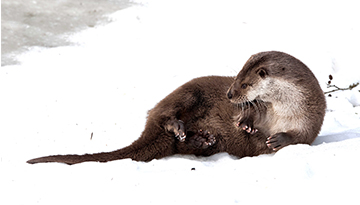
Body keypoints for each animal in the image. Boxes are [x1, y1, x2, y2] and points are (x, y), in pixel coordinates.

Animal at [25, 50, 324, 165]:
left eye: (244, 83)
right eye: (236, 77)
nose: (229, 94)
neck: (283, 110)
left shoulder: (312, 120)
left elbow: (299, 138)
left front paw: (277, 139)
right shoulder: (262, 107)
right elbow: (251, 113)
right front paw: (246, 122)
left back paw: (202, 138)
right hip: (187, 93)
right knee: (165, 115)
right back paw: (178, 126)